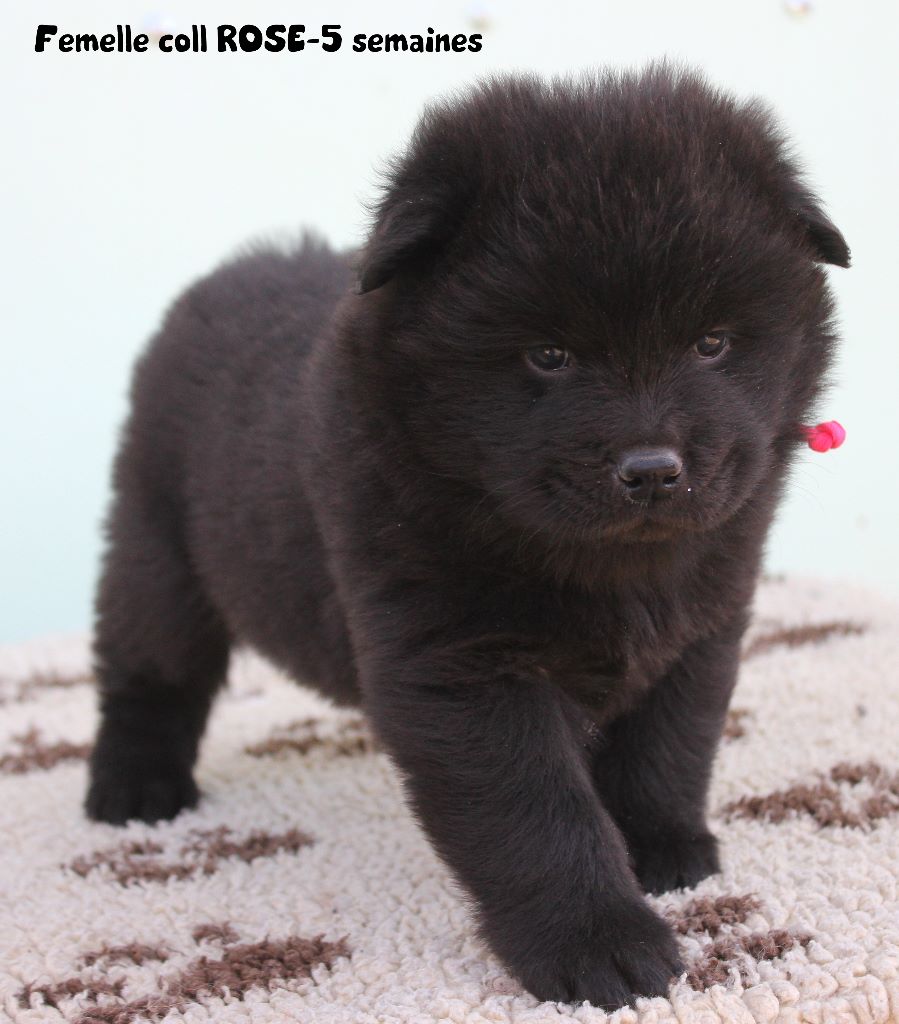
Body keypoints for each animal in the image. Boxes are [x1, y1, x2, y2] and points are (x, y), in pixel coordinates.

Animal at [86, 64, 849, 1008]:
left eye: (711, 342)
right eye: (547, 355)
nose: (651, 469)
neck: (610, 566)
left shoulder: (703, 625)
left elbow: (669, 747)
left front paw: (666, 853)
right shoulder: (462, 662)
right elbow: (536, 809)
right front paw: (599, 943)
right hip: (157, 548)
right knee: (148, 670)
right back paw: (135, 790)